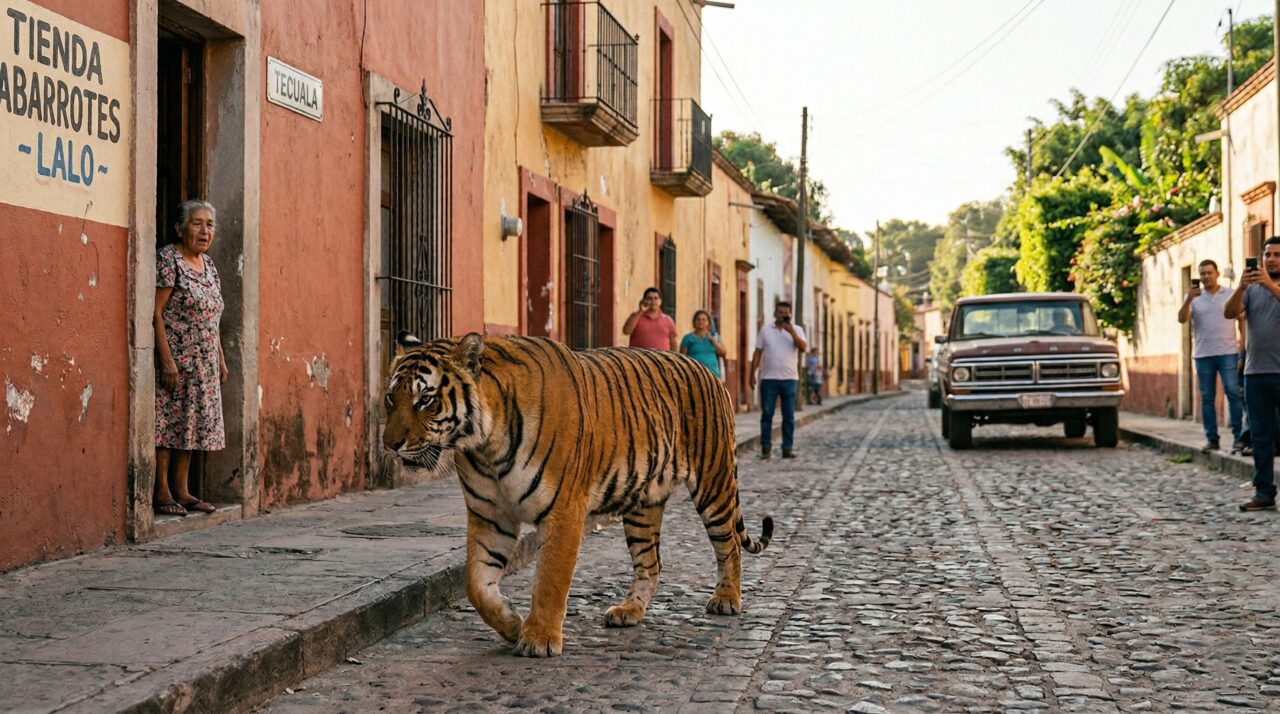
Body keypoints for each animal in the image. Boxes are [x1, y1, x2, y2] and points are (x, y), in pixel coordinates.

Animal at [382, 331, 773, 657]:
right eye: (390, 397)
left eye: (425, 400)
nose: (389, 444)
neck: (484, 445)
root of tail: (708, 371)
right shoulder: (489, 514)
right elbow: (477, 584)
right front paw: (512, 624)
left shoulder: (564, 510)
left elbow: (550, 579)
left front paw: (538, 639)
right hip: (643, 506)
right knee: (651, 562)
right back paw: (629, 611)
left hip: (714, 484)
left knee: (730, 546)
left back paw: (726, 600)